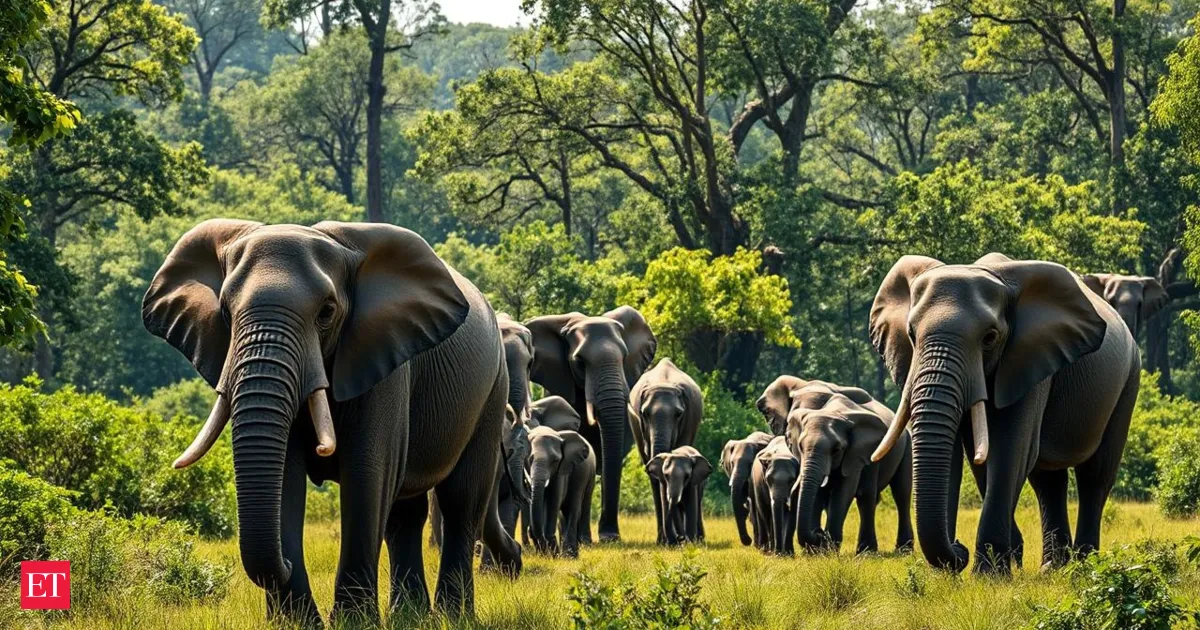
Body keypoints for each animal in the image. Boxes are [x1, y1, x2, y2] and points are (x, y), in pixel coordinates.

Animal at [142, 220, 517, 622]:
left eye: (326, 312)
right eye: (225, 312)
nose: (286, 563)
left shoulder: (383, 362)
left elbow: (367, 474)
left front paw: (354, 623)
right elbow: (286, 478)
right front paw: (296, 623)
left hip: (494, 388)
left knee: (461, 501)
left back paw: (452, 617)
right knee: (406, 513)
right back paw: (410, 616)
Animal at [526, 426, 596, 557]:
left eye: (555, 460)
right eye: (530, 459)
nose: (544, 553)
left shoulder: (561, 470)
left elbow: (553, 501)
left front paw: (555, 555)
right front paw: (548, 554)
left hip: (588, 475)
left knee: (577, 507)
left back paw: (572, 554)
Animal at [869, 253, 1139, 575]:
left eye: (990, 338)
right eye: (911, 334)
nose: (958, 549)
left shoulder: (1028, 359)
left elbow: (1010, 450)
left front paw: (990, 574)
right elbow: (965, 458)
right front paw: (963, 570)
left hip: (1128, 381)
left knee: (1094, 476)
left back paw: (1084, 567)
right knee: (1048, 481)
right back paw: (1052, 568)